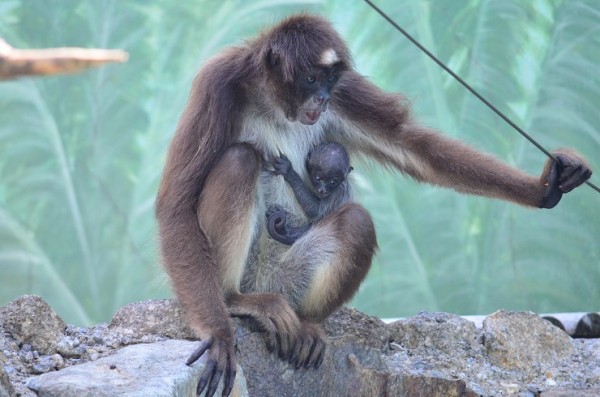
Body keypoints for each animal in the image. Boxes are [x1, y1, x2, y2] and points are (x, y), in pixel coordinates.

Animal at [155, 13, 592, 396]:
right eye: (311, 78)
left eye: (329, 80)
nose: (321, 98)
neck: (275, 105)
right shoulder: (219, 81)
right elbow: (175, 203)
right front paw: (218, 334)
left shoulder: (343, 92)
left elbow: (413, 148)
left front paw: (544, 187)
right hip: (249, 274)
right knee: (239, 159)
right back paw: (233, 301)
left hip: (287, 281)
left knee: (357, 223)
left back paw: (308, 324)